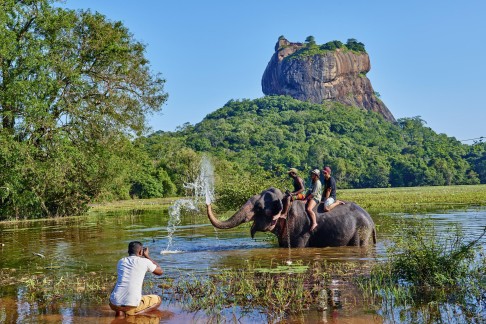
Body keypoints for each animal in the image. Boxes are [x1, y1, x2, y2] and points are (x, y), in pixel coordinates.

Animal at [207, 186, 378, 247]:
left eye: (259, 208)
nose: (207, 202)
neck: (285, 201)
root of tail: (372, 221)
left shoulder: (302, 230)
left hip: (361, 231)